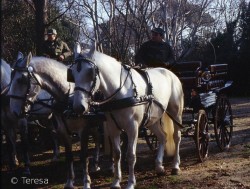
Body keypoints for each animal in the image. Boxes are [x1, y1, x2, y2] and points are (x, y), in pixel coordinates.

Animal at [7, 53, 103, 189]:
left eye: (21, 80)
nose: (14, 111)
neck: (68, 98)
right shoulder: (63, 131)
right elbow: (69, 156)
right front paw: (69, 182)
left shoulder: (83, 131)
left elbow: (84, 157)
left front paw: (86, 182)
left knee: (98, 139)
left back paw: (97, 164)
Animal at [69, 45, 185, 189]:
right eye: (72, 73)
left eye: (90, 72)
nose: (78, 107)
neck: (121, 91)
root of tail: (170, 73)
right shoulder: (113, 128)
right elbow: (117, 154)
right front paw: (116, 182)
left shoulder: (132, 128)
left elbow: (130, 155)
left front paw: (130, 183)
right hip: (152, 120)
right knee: (163, 136)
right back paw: (159, 166)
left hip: (176, 113)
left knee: (176, 137)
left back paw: (175, 166)